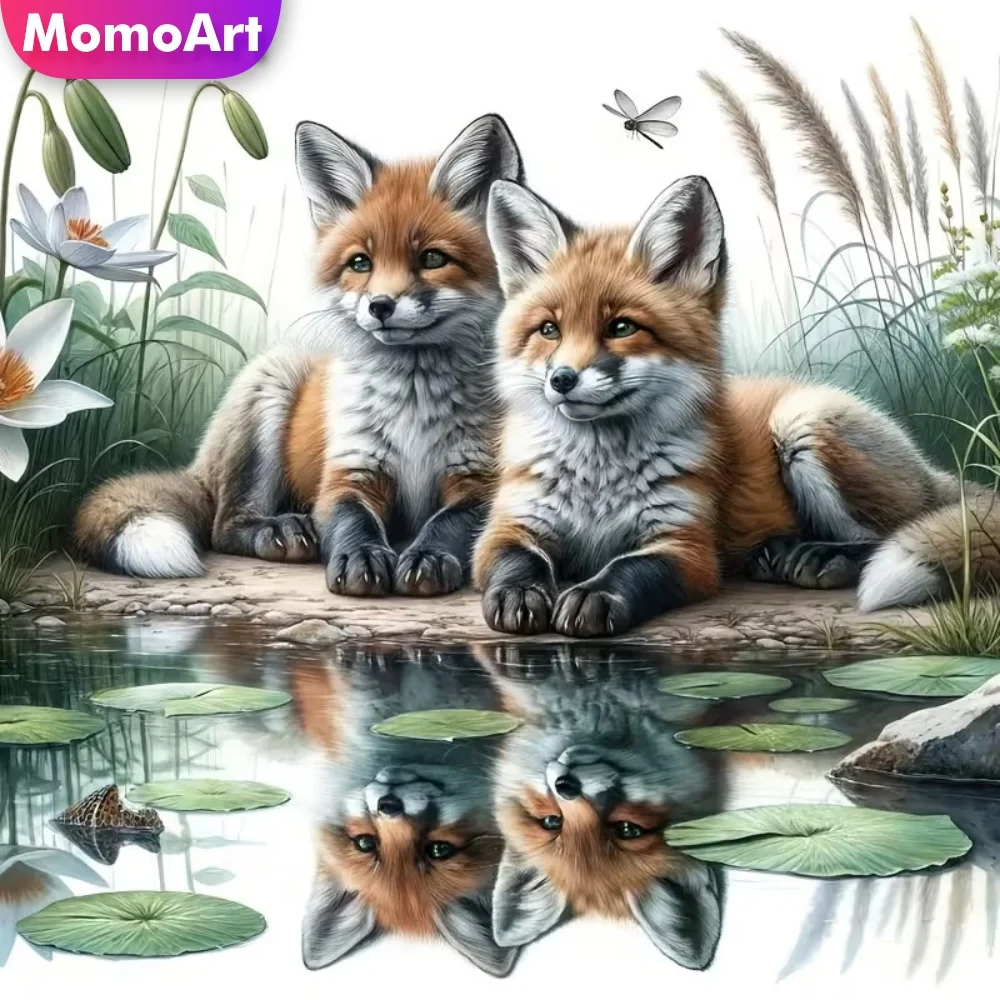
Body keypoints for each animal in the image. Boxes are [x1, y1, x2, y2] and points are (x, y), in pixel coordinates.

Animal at [74, 113, 523, 598]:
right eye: (360, 263)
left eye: (433, 259)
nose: (380, 307)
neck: (414, 405)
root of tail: (198, 468)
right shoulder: (350, 470)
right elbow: (351, 520)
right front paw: (360, 558)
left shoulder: (483, 478)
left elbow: (452, 523)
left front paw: (427, 556)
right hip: (270, 394)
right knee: (223, 527)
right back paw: (280, 530)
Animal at [473, 174, 1000, 637]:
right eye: (549, 330)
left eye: (622, 327)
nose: (562, 380)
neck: (598, 480)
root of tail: (932, 471)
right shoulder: (509, 525)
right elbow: (513, 561)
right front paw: (520, 593)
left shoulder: (686, 545)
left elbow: (630, 569)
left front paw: (594, 595)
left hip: (801, 423)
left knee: (885, 533)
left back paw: (817, 556)